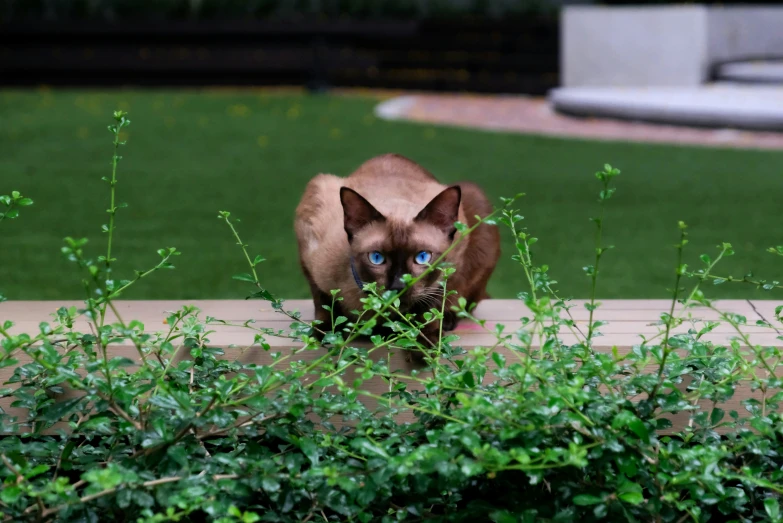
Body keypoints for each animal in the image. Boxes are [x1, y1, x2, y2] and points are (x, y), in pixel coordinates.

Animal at [294, 154, 502, 346]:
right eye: (376, 258)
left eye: (423, 257)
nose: (398, 286)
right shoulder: (308, 249)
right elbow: (323, 302)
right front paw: (326, 334)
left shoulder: (454, 258)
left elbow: (431, 304)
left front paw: (426, 344)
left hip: (475, 199)